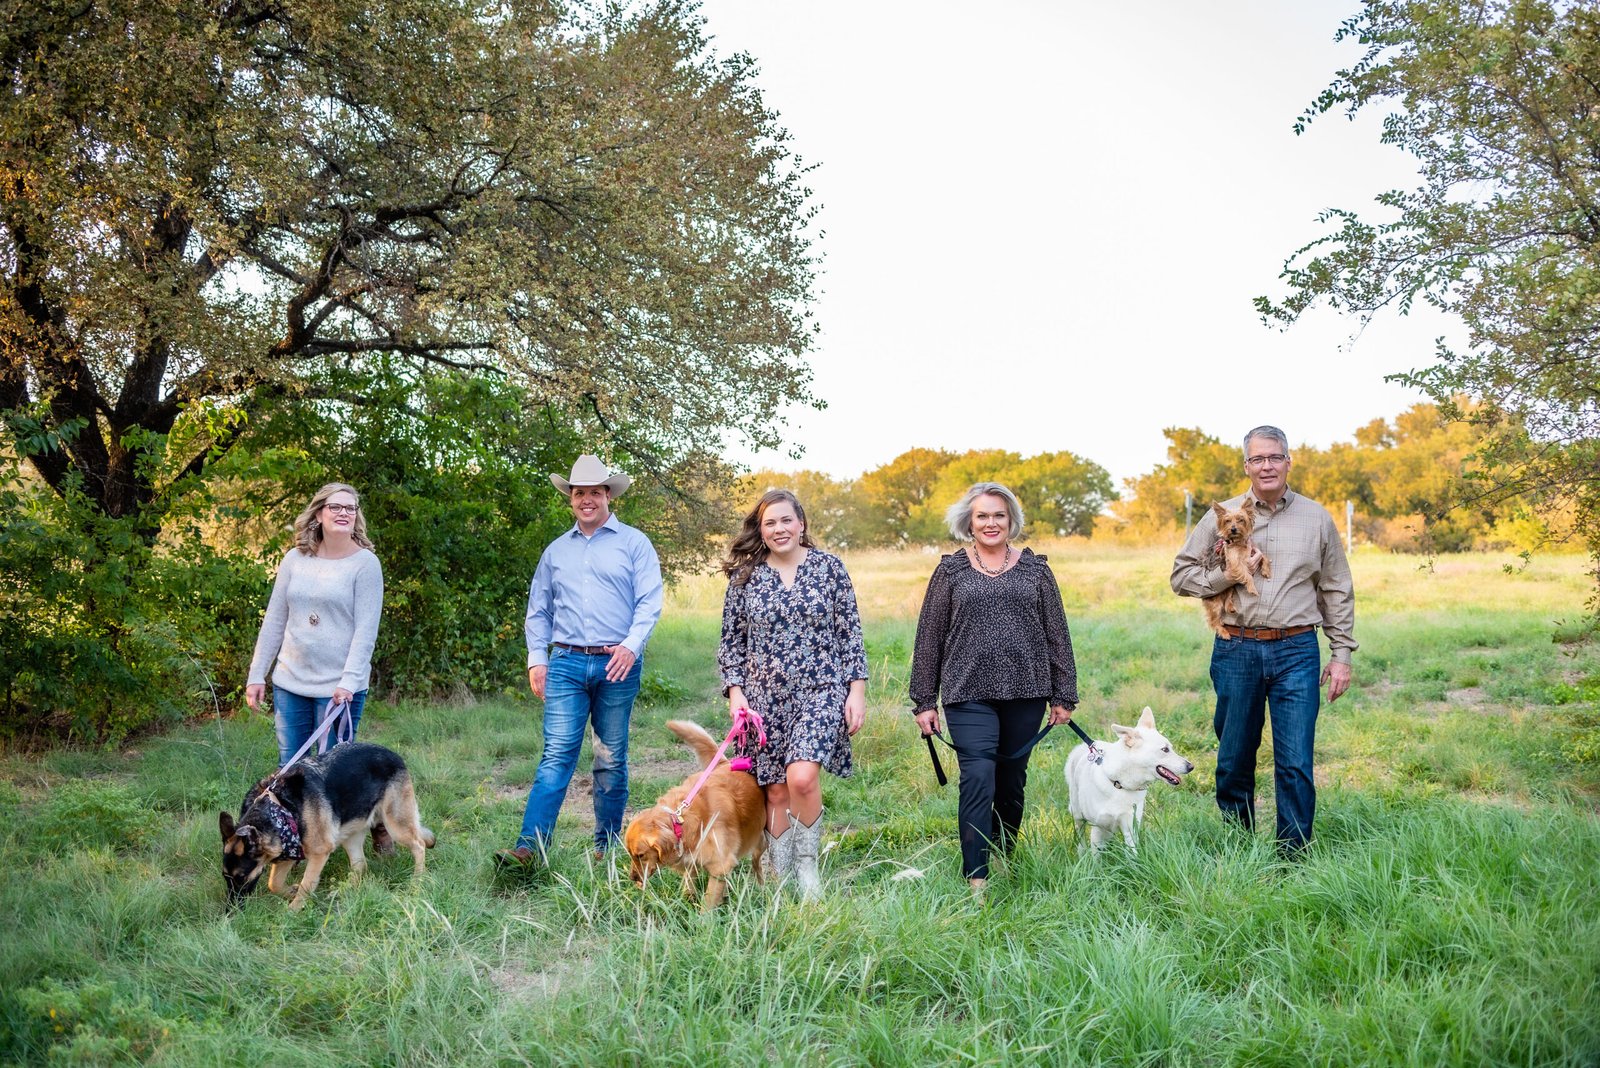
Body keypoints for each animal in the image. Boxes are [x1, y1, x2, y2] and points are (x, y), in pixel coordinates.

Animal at [219, 741, 435, 908]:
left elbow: (306, 885)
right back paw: (342, 892)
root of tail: (394, 754)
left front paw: (293, 911)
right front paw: (290, 892)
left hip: (396, 825)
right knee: (361, 865)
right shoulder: (289, 851)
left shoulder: (318, 852)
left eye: (241, 877)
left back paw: (417, 881)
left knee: (419, 845)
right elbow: (274, 883)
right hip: (350, 836)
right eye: (226, 877)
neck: (280, 807)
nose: (231, 910)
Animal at [620, 716, 764, 908]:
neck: (679, 820)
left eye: (641, 855)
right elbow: (689, 886)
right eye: (631, 855)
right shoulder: (691, 862)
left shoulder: (721, 865)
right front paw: (685, 903)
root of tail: (726, 763)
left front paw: (704, 914)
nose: (632, 878)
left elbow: (708, 901)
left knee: (757, 865)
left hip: (761, 841)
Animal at [1068, 703, 1196, 856]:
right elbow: (1096, 858)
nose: (1191, 766)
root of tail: (1082, 748)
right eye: (1165, 750)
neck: (1120, 784)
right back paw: (1081, 853)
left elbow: (1133, 856)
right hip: (1078, 814)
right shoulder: (1097, 827)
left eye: (1170, 748)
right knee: (1080, 835)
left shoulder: (1130, 828)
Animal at [1203, 498, 1273, 639]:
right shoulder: (1235, 563)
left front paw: (1266, 570)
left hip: (1229, 588)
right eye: (1227, 521)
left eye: (1241, 520)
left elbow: (1264, 556)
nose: (1233, 529)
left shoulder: (1252, 551)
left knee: (1228, 599)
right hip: (1215, 602)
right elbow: (1247, 575)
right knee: (1214, 621)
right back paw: (1224, 632)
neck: (1238, 542)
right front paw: (1252, 589)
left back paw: (1231, 607)